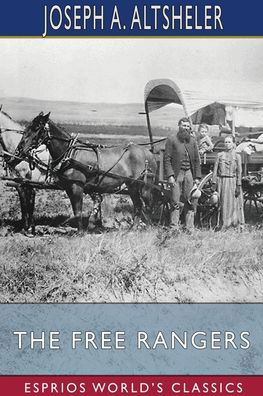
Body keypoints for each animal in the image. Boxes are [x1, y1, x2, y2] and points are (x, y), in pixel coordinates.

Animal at [0, 106, 49, 234]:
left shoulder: (30, 182)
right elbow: (23, 202)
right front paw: (24, 227)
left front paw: (31, 228)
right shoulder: (19, 182)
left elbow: (30, 201)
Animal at [13, 111, 157, 230]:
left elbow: (78, 211)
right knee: (138, 205)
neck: (70, 153)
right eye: (27, 127)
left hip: (145, 186)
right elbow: (76, 210)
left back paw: (150, 227)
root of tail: (148, 153)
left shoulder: (77, 186)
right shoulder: (69, 187)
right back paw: (132, 230)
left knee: (149, 205)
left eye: (36, 128)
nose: (19, 150)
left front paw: (81, 232)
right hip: (132, 185)